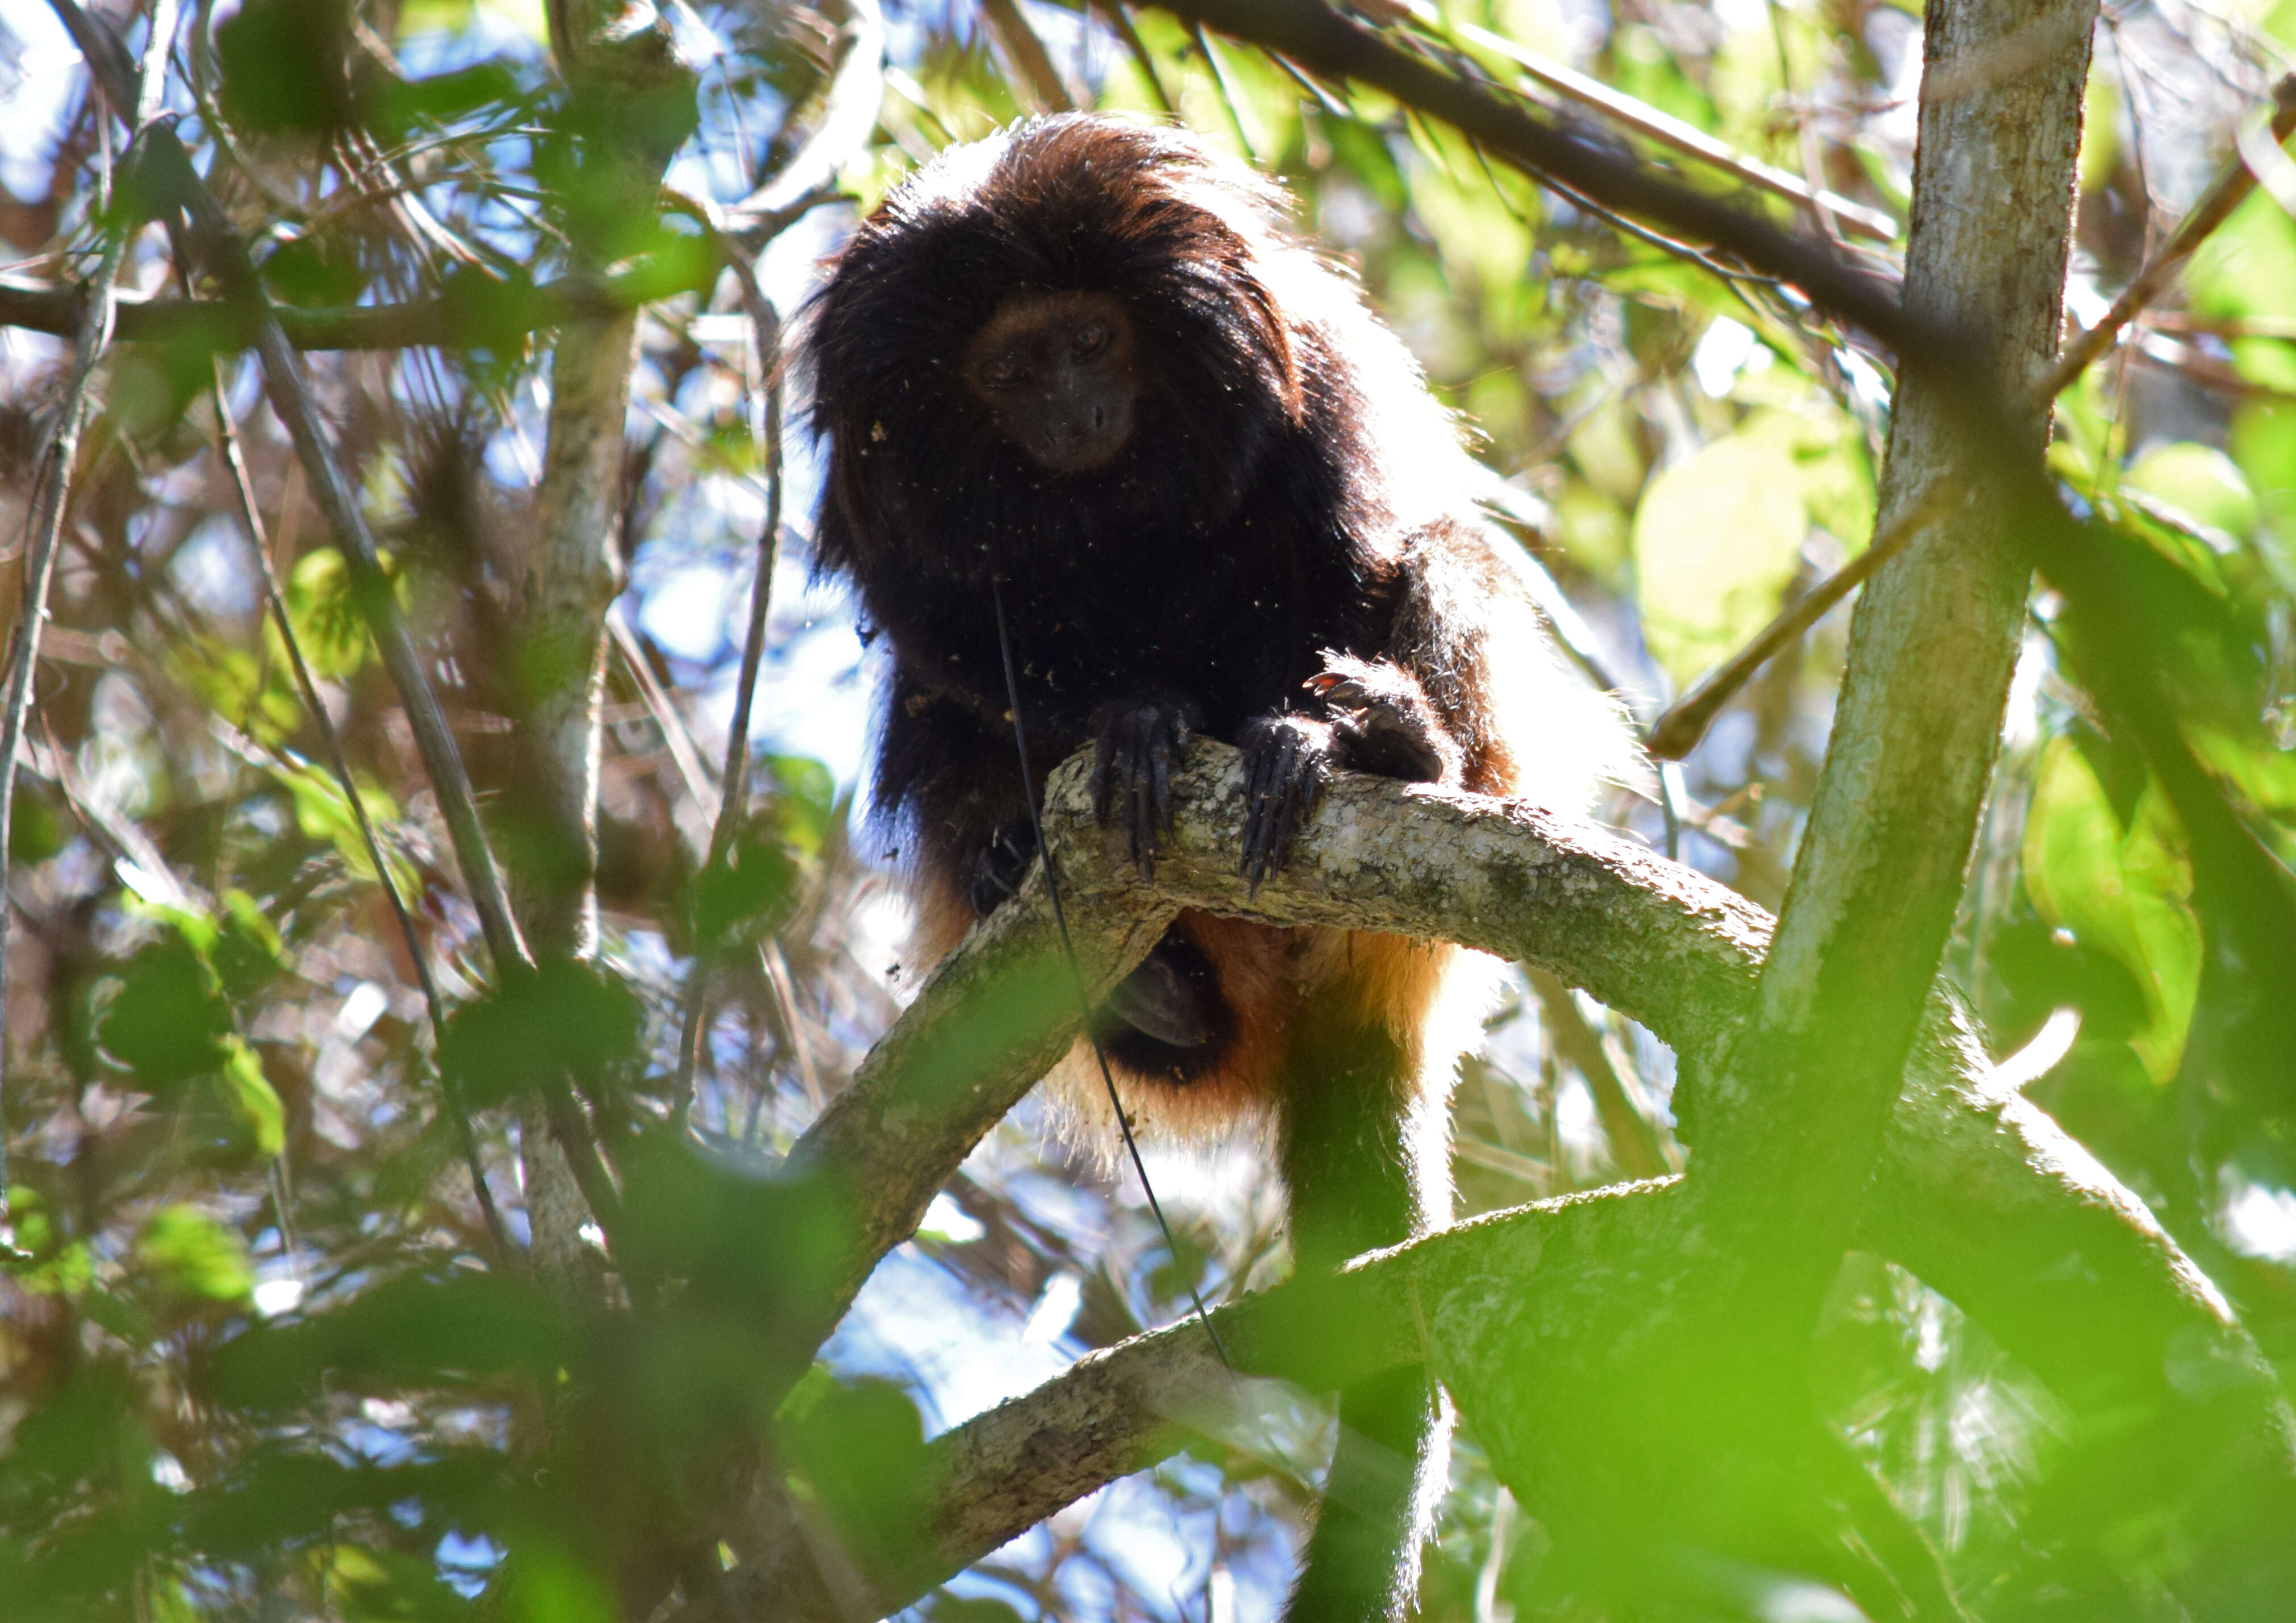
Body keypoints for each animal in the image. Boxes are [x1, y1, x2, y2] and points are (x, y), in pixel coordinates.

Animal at [798, 118, 1625, 1623]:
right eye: (1012, 369)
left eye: (1089, 340)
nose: (1072, 403)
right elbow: (955, 654)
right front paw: (1131, 723)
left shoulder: (1311, 383)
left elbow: (1366, 548)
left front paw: (1313, 727)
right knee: (936, 728)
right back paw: (1133, 975)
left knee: (1450, 561)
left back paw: (1394, 749)